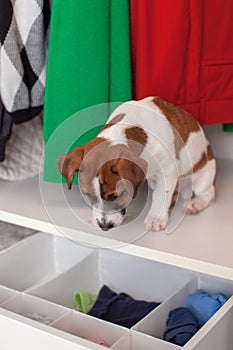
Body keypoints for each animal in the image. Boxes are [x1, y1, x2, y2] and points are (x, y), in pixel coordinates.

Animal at [57, 97, 217, 231]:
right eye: (88, 195)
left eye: (115, 196)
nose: (104, 226)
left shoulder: (167, 168)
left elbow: (161, 193)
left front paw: (156, 218)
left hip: (202, 178)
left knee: (209, 193)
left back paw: (196, 203)